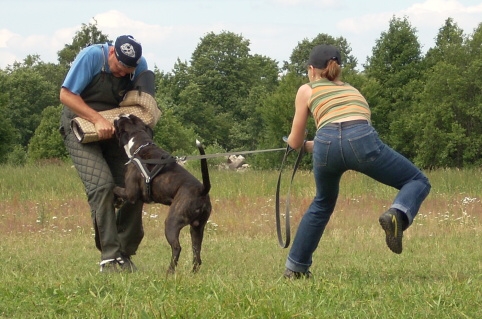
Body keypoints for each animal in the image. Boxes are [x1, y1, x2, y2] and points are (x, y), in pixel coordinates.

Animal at [114, 114, 212, 274]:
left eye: (119, 121)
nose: (117, 115)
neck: (140, 142)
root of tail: (202, 190)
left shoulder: (131, 193)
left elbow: (115, 188)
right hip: (197, 228)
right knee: (197, 253)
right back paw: (193, 273)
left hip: (172, 223)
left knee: (177, 248)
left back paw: (170, 272)